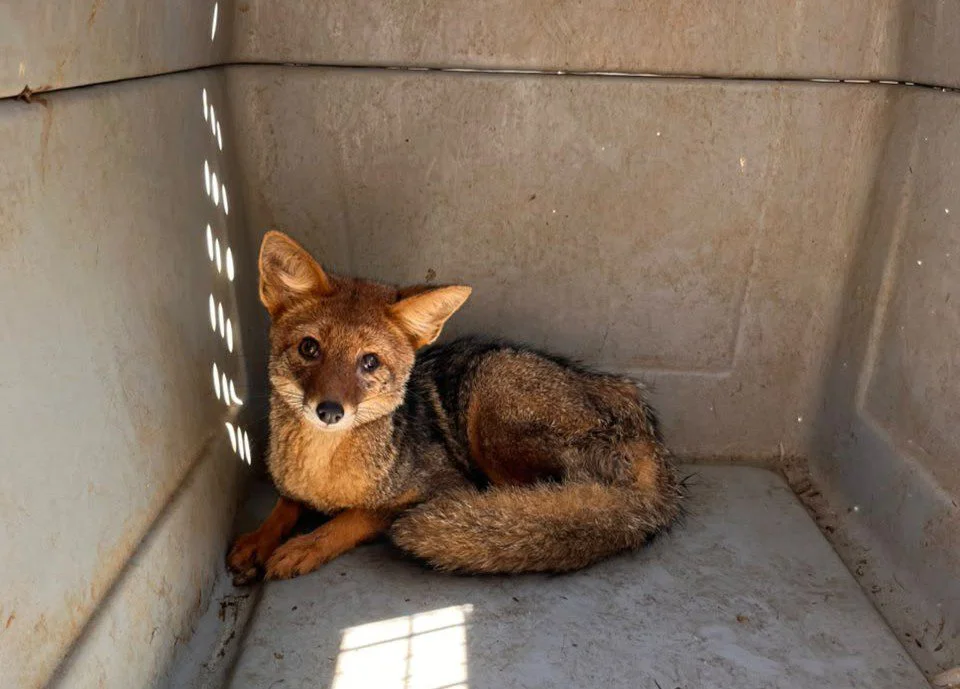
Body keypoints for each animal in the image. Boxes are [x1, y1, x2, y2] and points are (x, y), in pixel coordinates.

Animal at [226, 230, 682, 582]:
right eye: (310, 348)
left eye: (369, 362)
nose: (329, 411)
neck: (323, 470)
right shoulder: (292, 484)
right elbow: (285, 503)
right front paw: (258, 539)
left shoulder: (439, 486)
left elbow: (356, 516)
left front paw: (306, 545)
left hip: (490, 402)